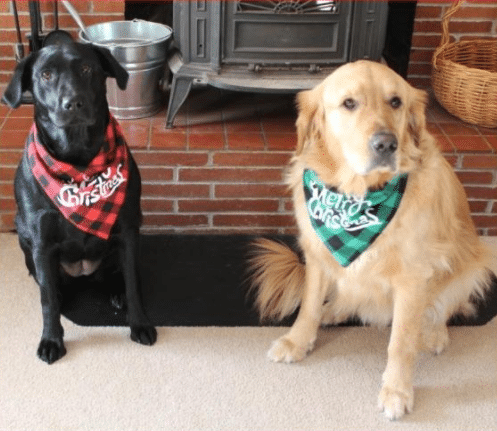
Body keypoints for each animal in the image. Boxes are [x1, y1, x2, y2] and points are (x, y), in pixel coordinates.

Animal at [1, 40, 157, 364]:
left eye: (86, 68)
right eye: (46, 74)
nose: (72, 103)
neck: (79, 165)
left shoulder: (128, 230)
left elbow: (134, 283)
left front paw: (139, 323)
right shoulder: (41, 242)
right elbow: (47, 300)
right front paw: (51, 339)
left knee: (117, 276)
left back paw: (116, 292)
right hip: (25, 243)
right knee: (50, 286)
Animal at [250, 59, 494, 420]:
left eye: (396, 102)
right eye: (349, 103)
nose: (386, 145)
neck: (357, 196)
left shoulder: (413, 278)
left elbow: (401, 342)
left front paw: (396, 391)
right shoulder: (317, 255)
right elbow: (308, 306)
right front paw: (298, 341)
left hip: (475, 262)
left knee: (445, 306)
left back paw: (433, 333)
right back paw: (334, 311)